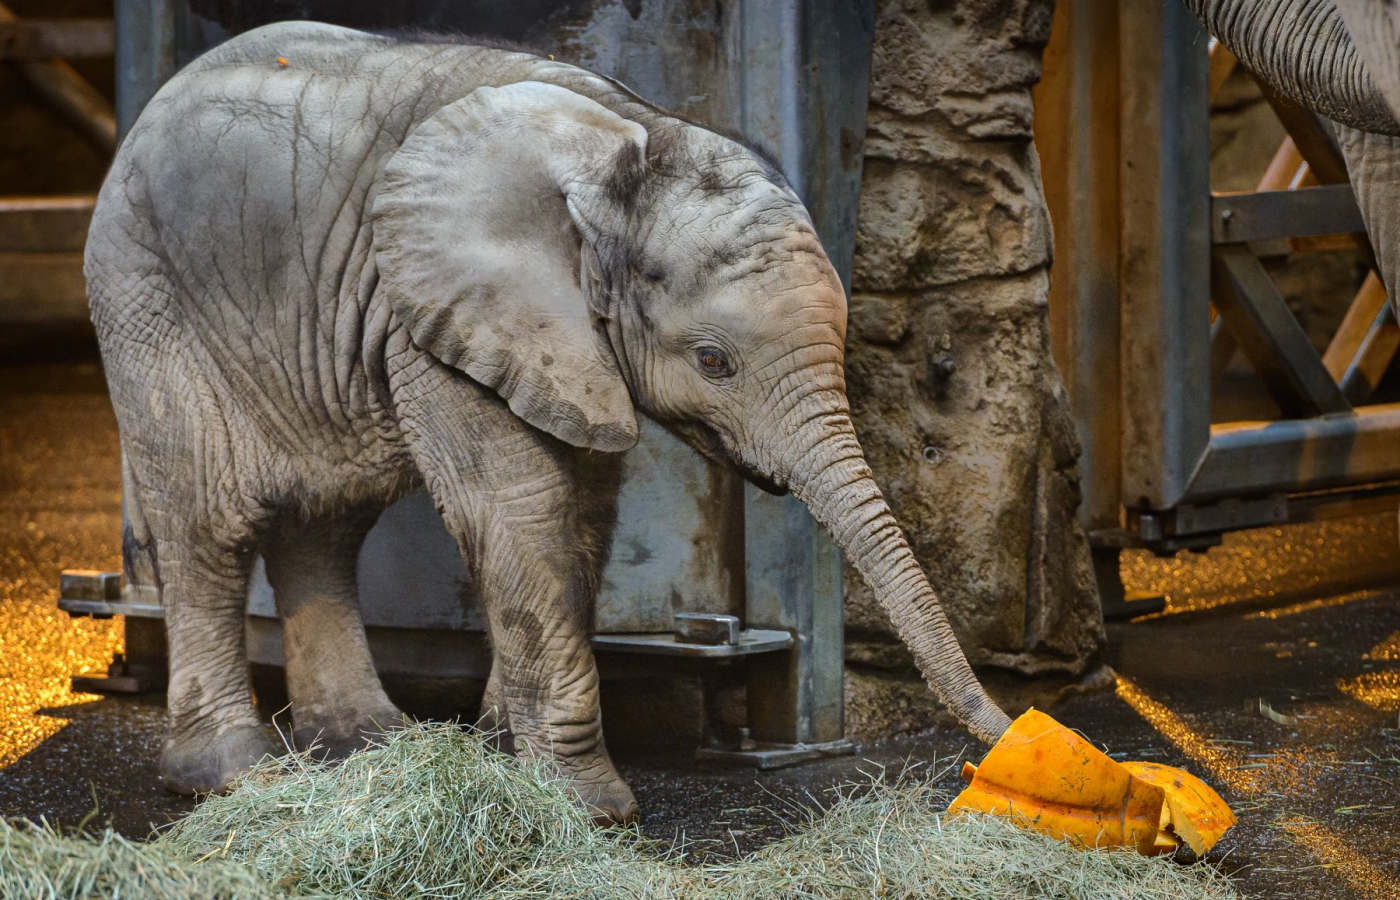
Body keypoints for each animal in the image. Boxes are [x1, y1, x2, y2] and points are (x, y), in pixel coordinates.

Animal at [90, 21, 1008, 828]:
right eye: (714, 361)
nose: (1002, 747)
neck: (628, 140)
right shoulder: (433, 314)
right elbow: (520, 507)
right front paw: (591, 809)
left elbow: (584, 514)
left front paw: (505, 754)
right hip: (147, 295)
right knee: (212, 522)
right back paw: (235, 775)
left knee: (328, 520)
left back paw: (368, 747)